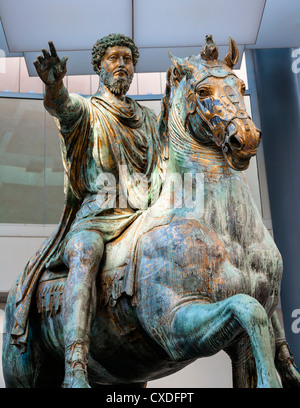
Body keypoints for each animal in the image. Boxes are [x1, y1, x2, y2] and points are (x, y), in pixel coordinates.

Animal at [2, 35, 300, 388]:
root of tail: (17, 289)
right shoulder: (174, 323)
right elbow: (247, 307)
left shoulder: (245, 334)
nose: (247, 139)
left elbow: (256, 320)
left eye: (241, 86)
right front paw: (52, 77)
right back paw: (75, 378)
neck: (225, 231)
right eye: (203, 91)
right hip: (23, 367)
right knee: (85, 257)